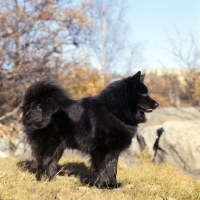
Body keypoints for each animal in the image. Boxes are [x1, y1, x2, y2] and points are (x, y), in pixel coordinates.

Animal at [21, 71, 159, 188]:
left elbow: (112, 169)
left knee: (51, 164)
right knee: (42, 163)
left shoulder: (113, 152)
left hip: (58, 148)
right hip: (49, 145)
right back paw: (41, 182)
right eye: (143, 94)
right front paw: (104, 185)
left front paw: (113, 184)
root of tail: (36, 104)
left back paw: (51, 181)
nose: (157, 104)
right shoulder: (101, 151)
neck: (114, 111)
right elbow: (103, 170)